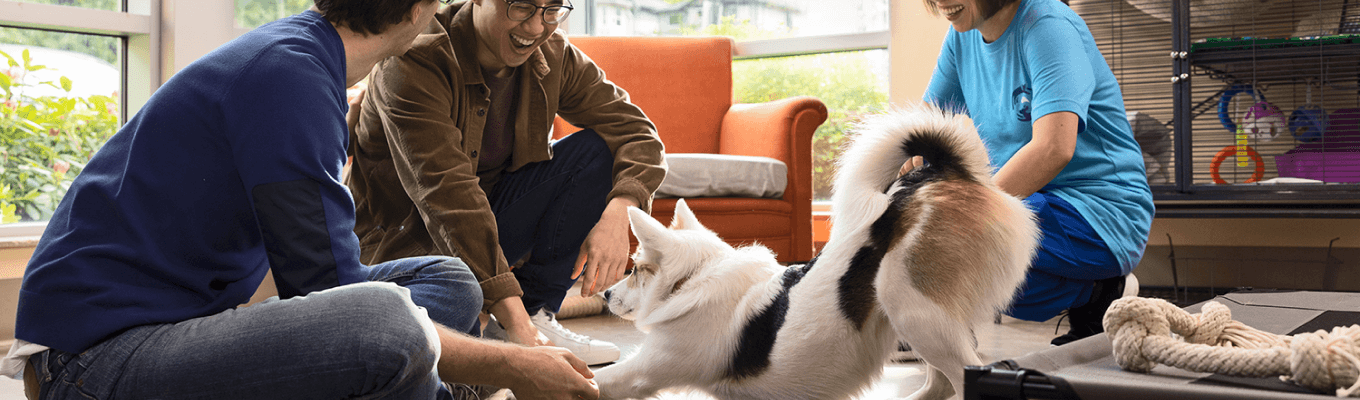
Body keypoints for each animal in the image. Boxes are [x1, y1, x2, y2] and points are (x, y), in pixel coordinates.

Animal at [598, 106, 1039, 400]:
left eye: (634, 269)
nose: (603, 294)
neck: (696, 278)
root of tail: (933, 171)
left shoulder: (645, 370)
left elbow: (601, 380)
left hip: (912, 308)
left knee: (963, 373)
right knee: (940, 384)